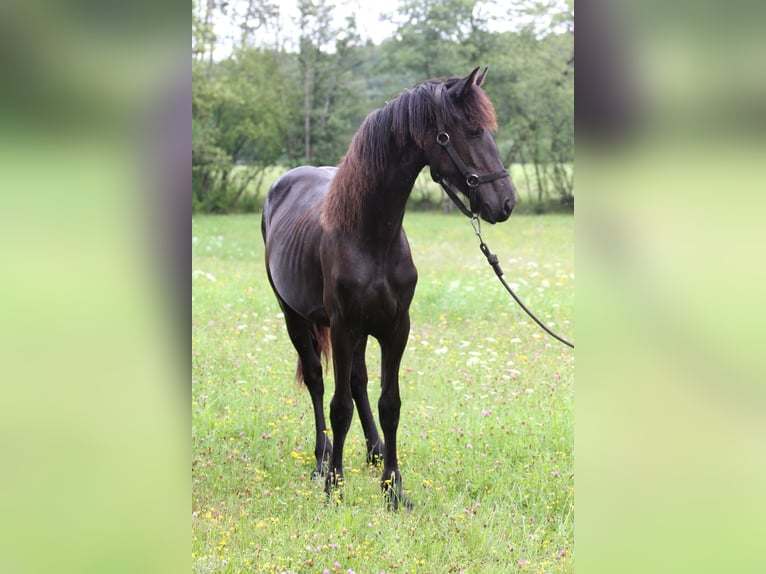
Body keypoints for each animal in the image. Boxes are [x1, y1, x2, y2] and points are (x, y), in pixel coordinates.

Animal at [261, 67, 515, 510]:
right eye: (471, 130)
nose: (506, 202)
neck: (371, 236)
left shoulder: (396, 327)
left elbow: (388, 403)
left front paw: (393, 488)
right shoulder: (343, 327)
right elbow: (338, 407)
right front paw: (335, 487)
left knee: (358, 382)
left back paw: (373, 451)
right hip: (294, 316)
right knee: (316, 381)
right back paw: (321, 461)